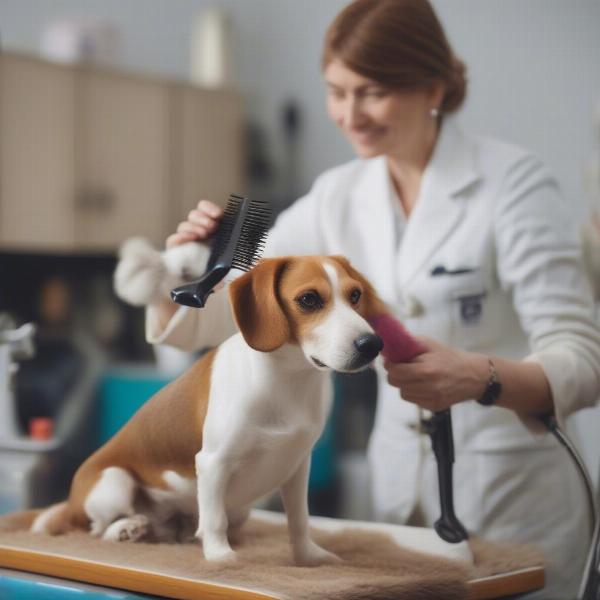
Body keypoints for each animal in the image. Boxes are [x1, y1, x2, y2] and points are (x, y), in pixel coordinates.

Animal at [32, 255, 386, 564]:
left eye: (355, 295)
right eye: (309, 299)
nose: (372, 344)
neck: (285, 381)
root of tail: (70, 503)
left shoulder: (297, 467)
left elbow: (299, 521)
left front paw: (309, 558)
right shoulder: (214, 462)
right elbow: (215, 520)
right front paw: (220, 558)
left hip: (238, 508)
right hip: (114, 482)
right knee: (97, 530)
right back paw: (127, 528)